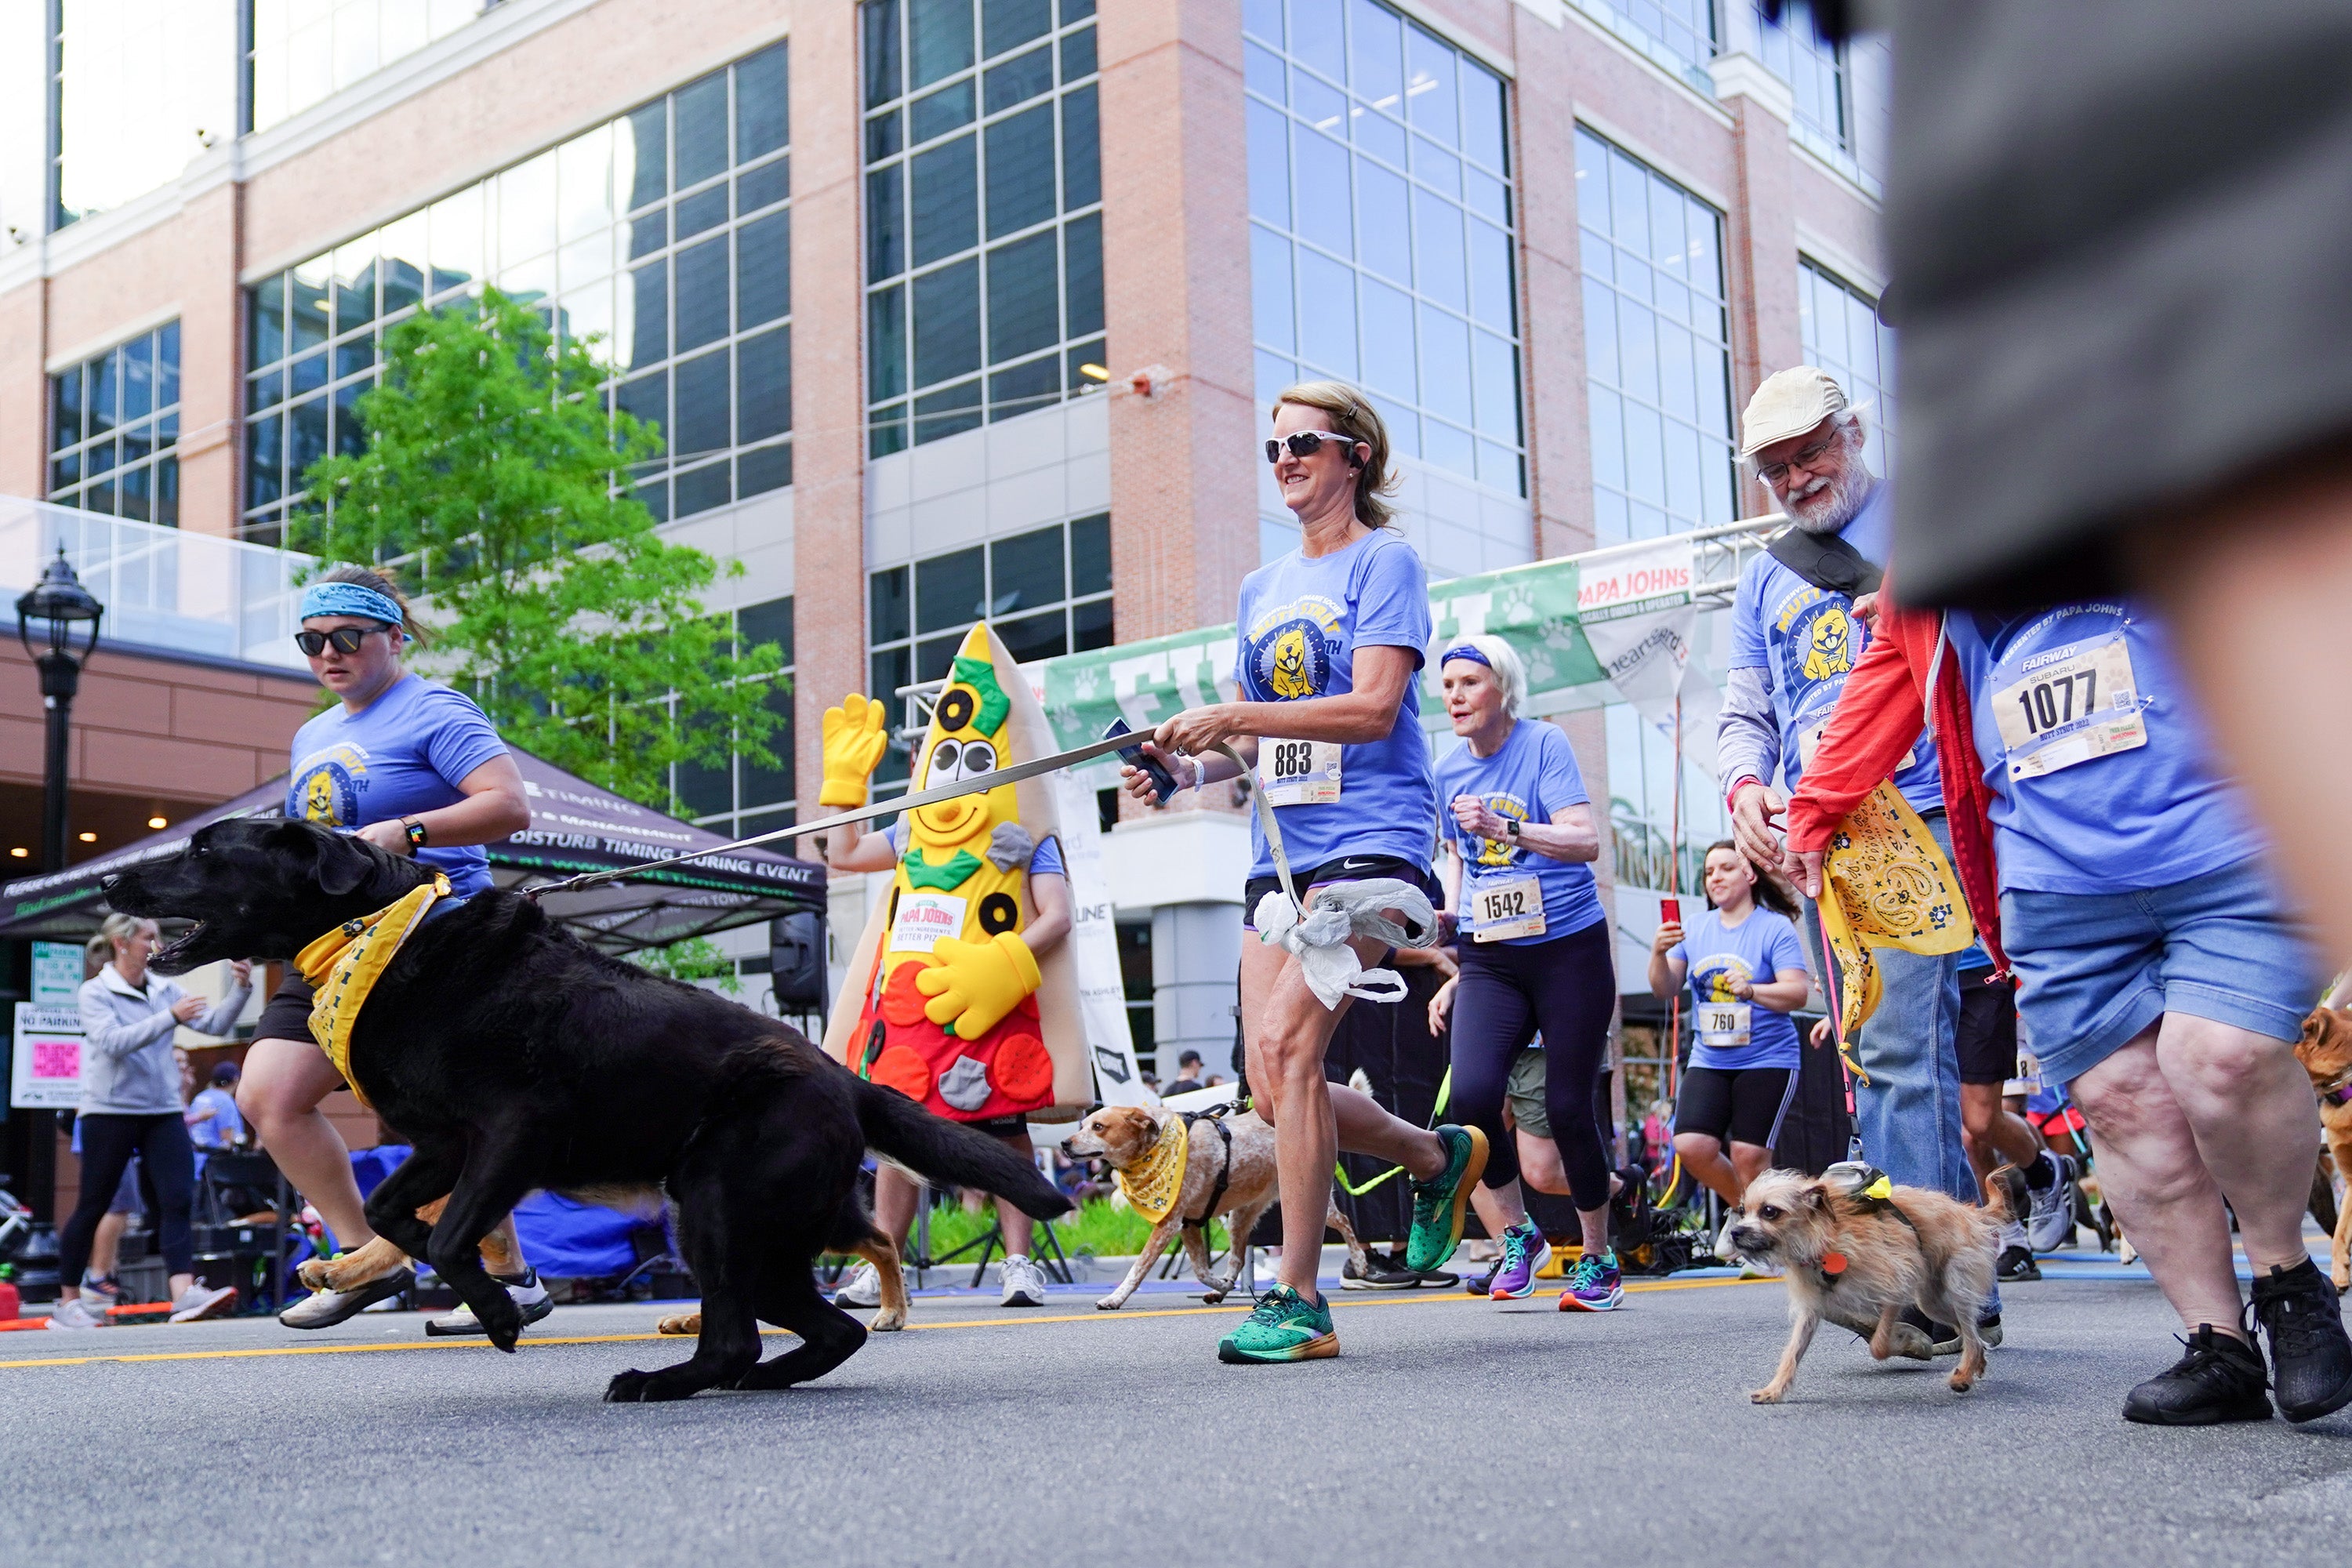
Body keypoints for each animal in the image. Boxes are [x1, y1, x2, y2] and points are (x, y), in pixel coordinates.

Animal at [106, 822, 1073, 1401]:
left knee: (743, 1337)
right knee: (817, 1327)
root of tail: (844, 1077)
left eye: (203, 851)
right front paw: (414, 1271)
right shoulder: (444, 1142)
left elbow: (451, 1234)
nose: (115, 876)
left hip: (715, 1204)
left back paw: (664, 1380)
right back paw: (752, 1376)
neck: (387, 934)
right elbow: (390, 1211)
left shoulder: (513, 1132)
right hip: (757, 1229)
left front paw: (495, 1311)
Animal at [1722, 1166, 2013, 1410]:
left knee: (1971, 1332)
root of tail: (1971, 1213)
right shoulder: (1811, 1312)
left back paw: (1963, 1376)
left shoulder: (1897, 1288)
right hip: (1932, 1302)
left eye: (1770, 1211)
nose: (1736, 1233)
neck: (1825, 1239)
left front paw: (1903, 1340)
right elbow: (1792, 1354)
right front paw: (1774, 1390)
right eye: (1743, 1210)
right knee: (1969, 1331)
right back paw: (1975, 1364)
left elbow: (1878, 1345)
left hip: (1954, 1286)